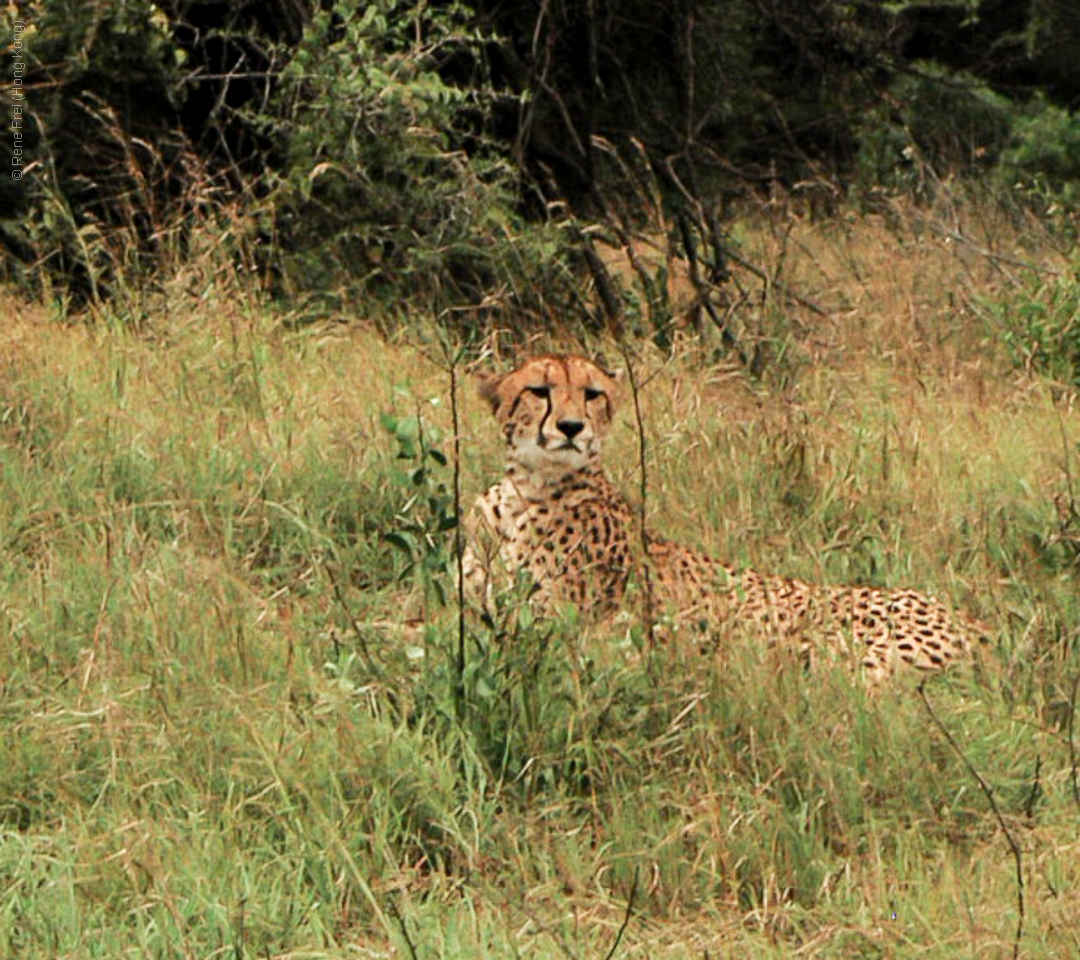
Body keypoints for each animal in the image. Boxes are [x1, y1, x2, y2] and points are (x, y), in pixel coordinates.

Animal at [464, 352, 989, 682]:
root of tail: (978, 624)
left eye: (592, 394)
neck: (528, 490)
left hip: (834, 654)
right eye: (539, 390)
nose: (572, 427)